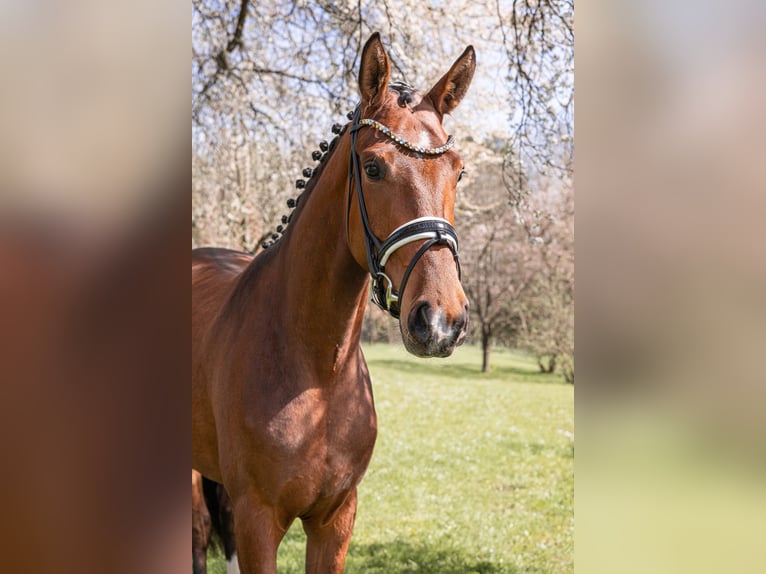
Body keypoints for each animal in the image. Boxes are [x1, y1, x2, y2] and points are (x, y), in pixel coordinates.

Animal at [192, 33, 476, 573]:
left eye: (459, 172)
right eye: (373, 167)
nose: (440, 321)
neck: (317, 372)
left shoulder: (336, 519)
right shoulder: (259, 521)